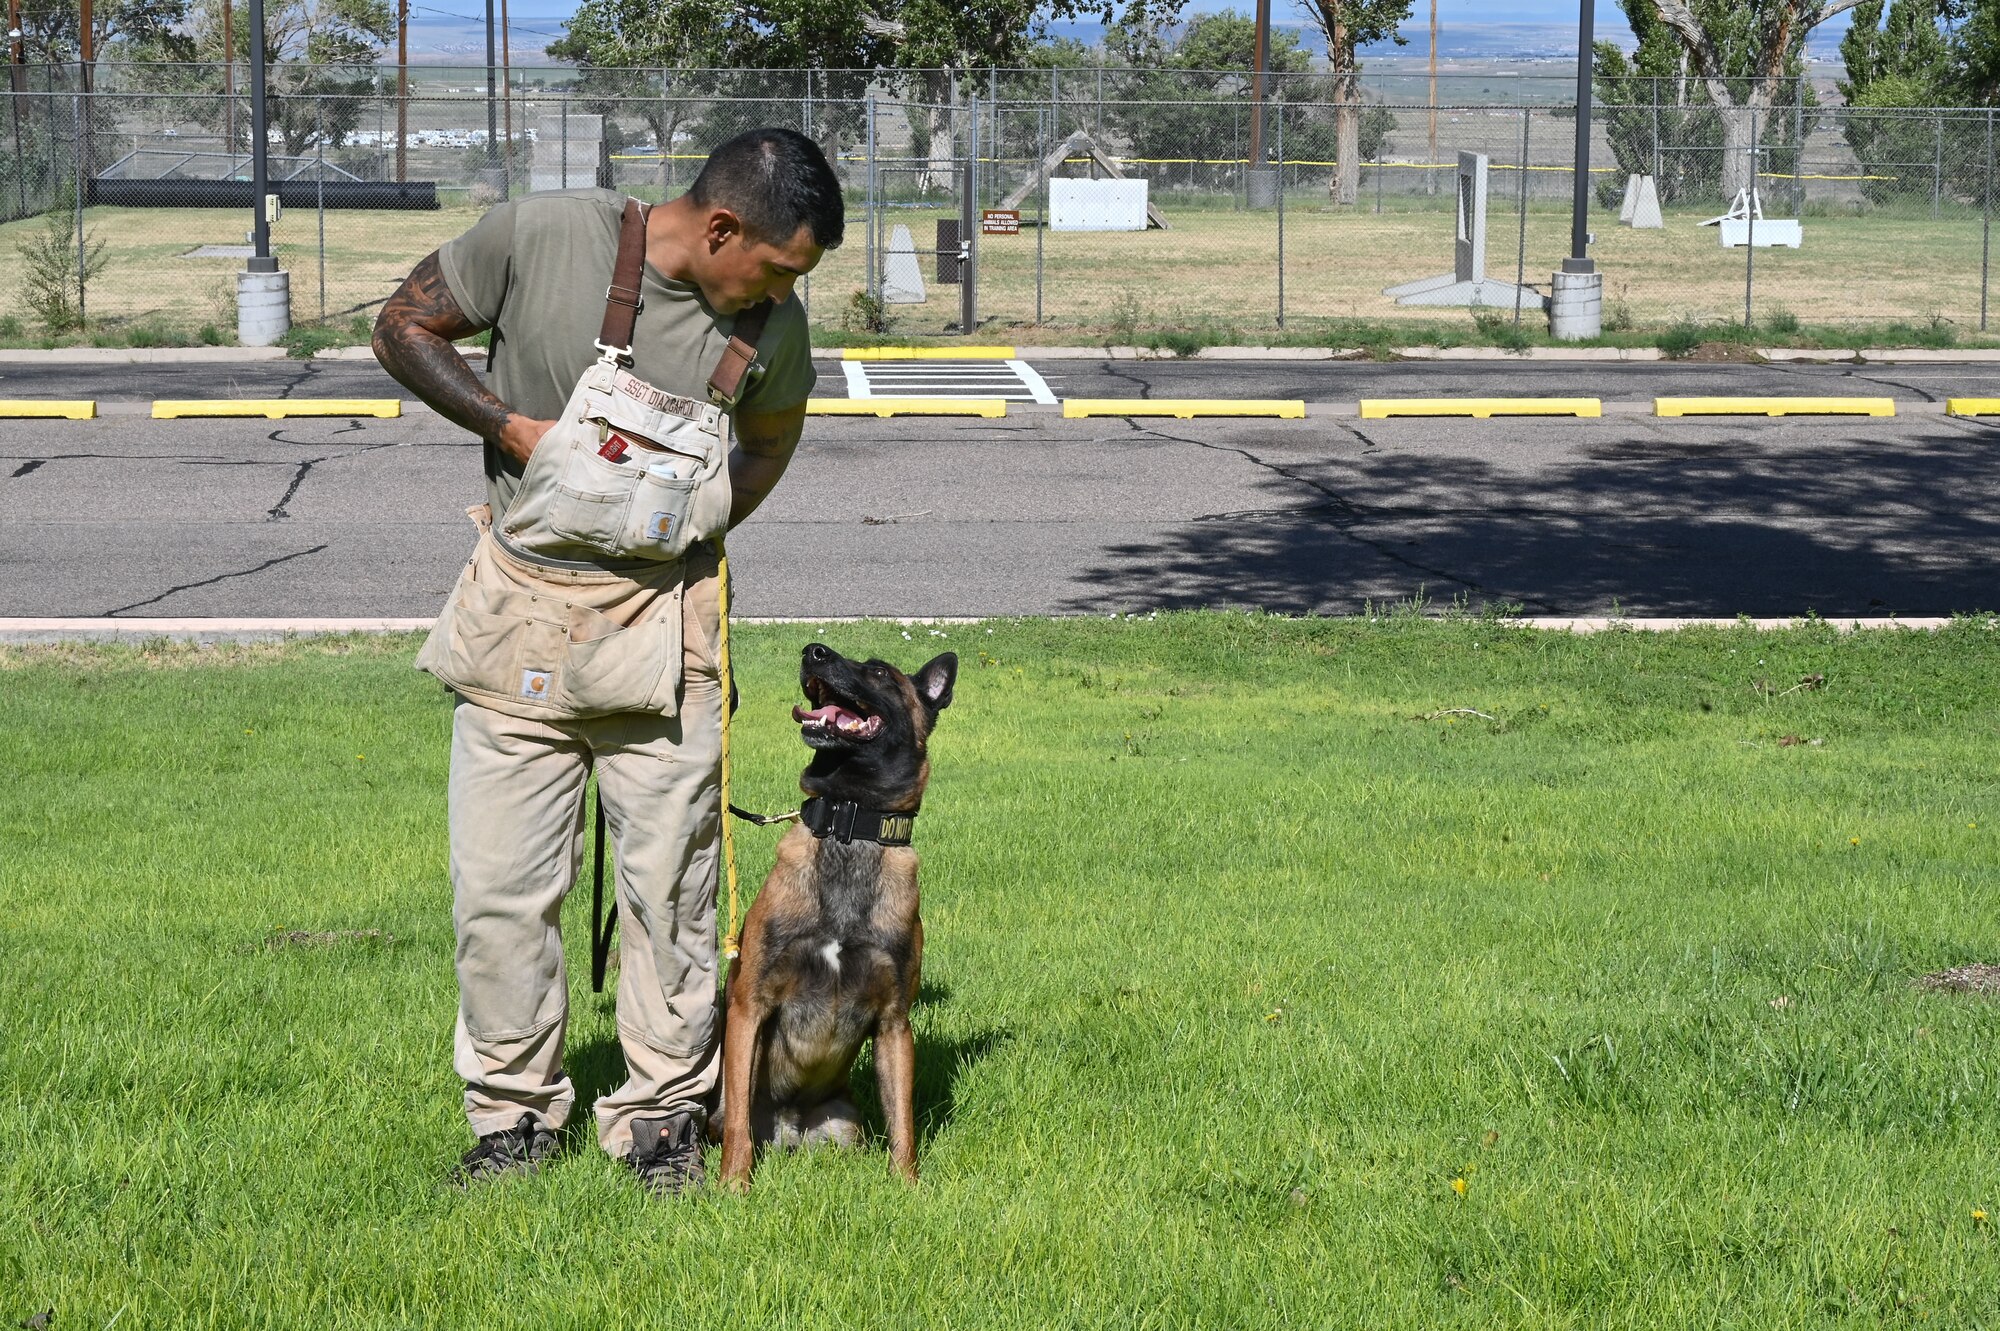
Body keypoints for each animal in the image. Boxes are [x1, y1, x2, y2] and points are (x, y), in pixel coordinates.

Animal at [720, 639, 960, 1183]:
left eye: (879, 672)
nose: (814, 651)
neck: (849, 822)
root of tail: (788, 1130)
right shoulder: (748, 1006)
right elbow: (738, 1125)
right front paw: (732, 1186)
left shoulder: (895, 1023)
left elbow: (902, 1122)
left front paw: (907, 1185)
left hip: (843, 1125)